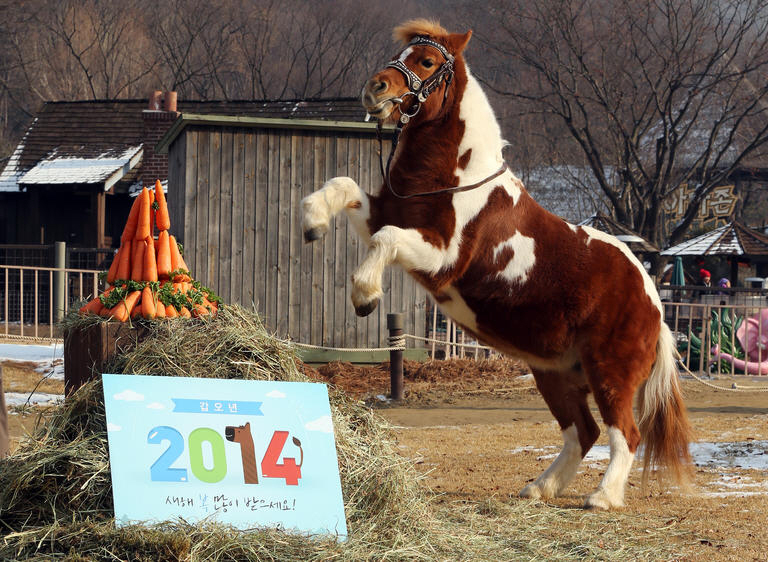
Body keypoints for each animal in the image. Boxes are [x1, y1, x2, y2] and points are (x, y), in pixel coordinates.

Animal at [300, 18, 688, 508]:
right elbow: (344, 184)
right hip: (555, 374)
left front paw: (365, 295)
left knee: (626, 434)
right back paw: (539, 488)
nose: (375, 89)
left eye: (427, 61)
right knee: (582, 432)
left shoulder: (441, 258)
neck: (457, 177)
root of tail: (654, 302)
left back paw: (602, 497)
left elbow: (386, 240)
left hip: (610, 372)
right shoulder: (386, 214)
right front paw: (312, 222)